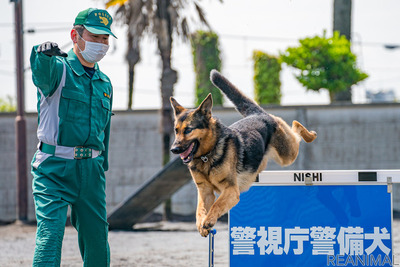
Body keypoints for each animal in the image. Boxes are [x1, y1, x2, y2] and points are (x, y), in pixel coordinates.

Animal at [169, 70, 316, 238]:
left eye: (188, 130)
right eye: (176, 130)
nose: (173, 149)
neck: (208, 154)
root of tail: (257, 114)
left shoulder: (231, 190)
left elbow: (217, 205)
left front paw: (209, 220)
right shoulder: (205, 192)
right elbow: (200, 210)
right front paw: (202, 224)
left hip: (287, 155)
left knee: (295, 127)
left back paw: (310, 134)